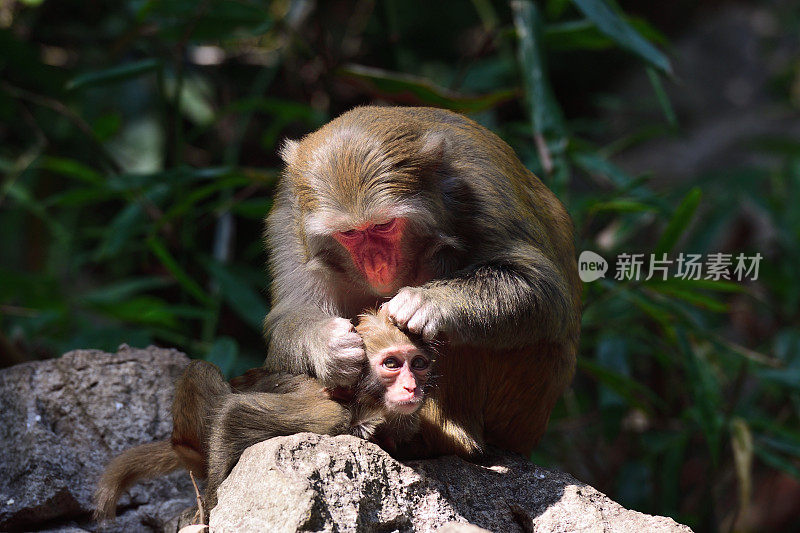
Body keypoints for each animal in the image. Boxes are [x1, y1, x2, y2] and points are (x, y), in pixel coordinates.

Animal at [94, 308, 434, 520]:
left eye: (418, 364)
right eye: (391, 364)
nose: (412, 387)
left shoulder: (407, 423)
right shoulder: (326, 413)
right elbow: (234, 415)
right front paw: (212, 509)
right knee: (201, 370)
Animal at [264, 105, 580, 458]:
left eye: (384, 225)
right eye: (349, 233)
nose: (376, 264)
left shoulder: (480, 183)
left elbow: (544, 290)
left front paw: (427, 303)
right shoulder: (289, 214)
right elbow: (290, 312)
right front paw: (328, 345)